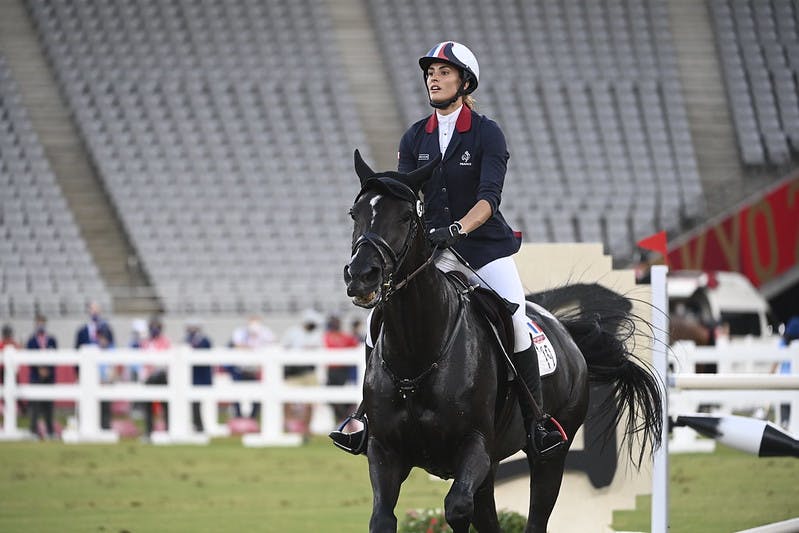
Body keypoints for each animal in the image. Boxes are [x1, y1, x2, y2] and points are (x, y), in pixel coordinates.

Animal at [344, 151, 664, 532]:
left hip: (549, 457)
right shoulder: (385, 453)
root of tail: (565, 332)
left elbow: (456, 508)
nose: (361, 276)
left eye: (407, 216)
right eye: (355, 213)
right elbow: (382, 518)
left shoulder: (474, 447)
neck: (417, 353)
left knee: (536, 513)